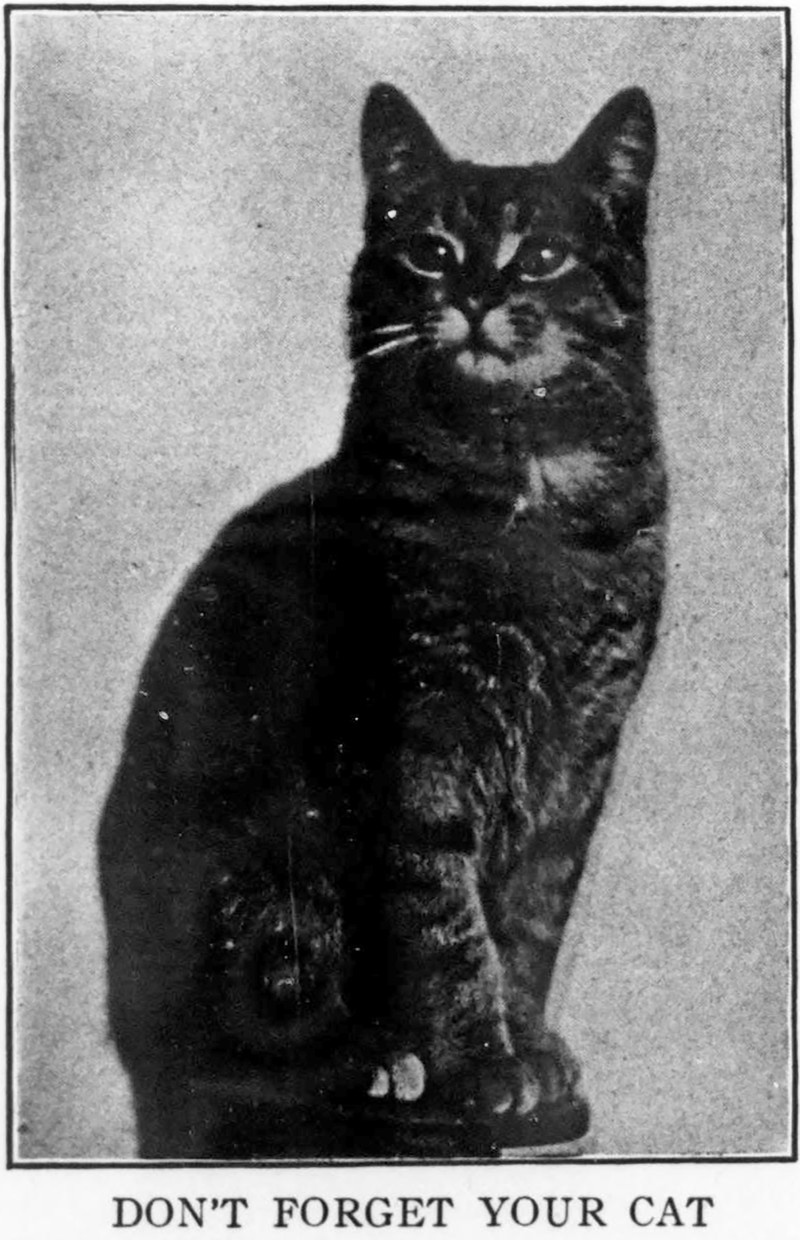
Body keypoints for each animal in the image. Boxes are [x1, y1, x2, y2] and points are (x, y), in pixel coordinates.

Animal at [99, 82, 666, 1158]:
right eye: (431, 250)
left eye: (541, 253)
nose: (477, 297)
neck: (526, 483)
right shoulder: (419, 729)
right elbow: (443, 916)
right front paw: (481, 1062)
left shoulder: (580, 748)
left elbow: (531, 914)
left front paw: (526, 1041)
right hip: (263, 893)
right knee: (261, 1026)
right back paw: (379, 1056)